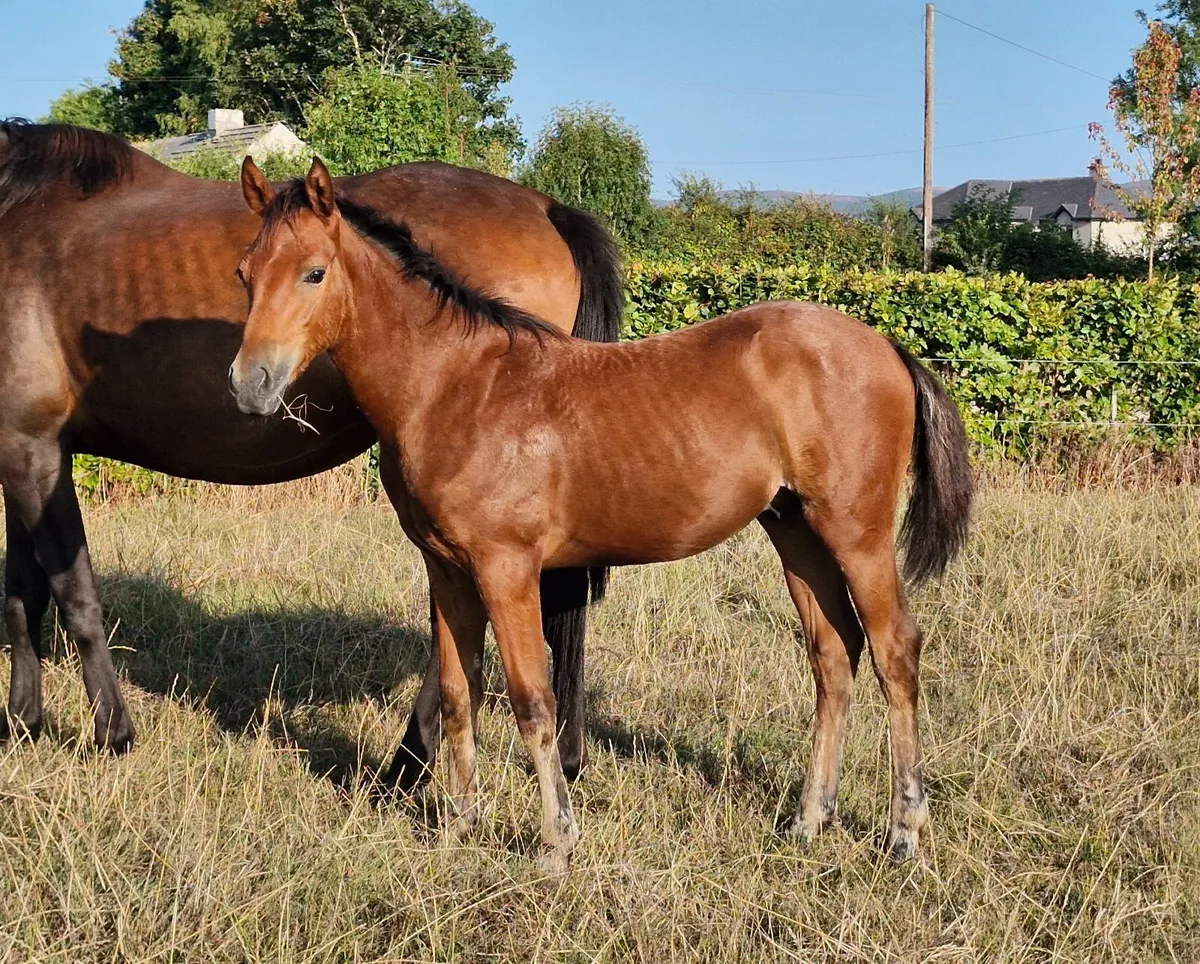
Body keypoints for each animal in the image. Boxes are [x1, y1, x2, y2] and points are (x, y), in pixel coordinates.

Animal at [0, 120, 620, 785]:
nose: (248, 382)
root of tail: (547, 208)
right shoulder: (20, 458)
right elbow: (23, 595)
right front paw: (23, 721)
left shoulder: (34, 448)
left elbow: (74, 596)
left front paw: (111, 733)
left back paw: (406, 768)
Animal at [230, 158, 973, 869]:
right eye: (245, 274)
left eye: (314, 272)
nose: (249, 385)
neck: (457, 387)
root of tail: (888, 349)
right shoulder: (446, 570)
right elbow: (458, 691)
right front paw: (460, 826)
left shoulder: (507, 569)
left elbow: (531, 699)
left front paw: (555, 842)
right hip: (796, 531)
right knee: (833, 654)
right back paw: (808, 821)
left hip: (857, 533)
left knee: (894, 651)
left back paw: (903, 833)